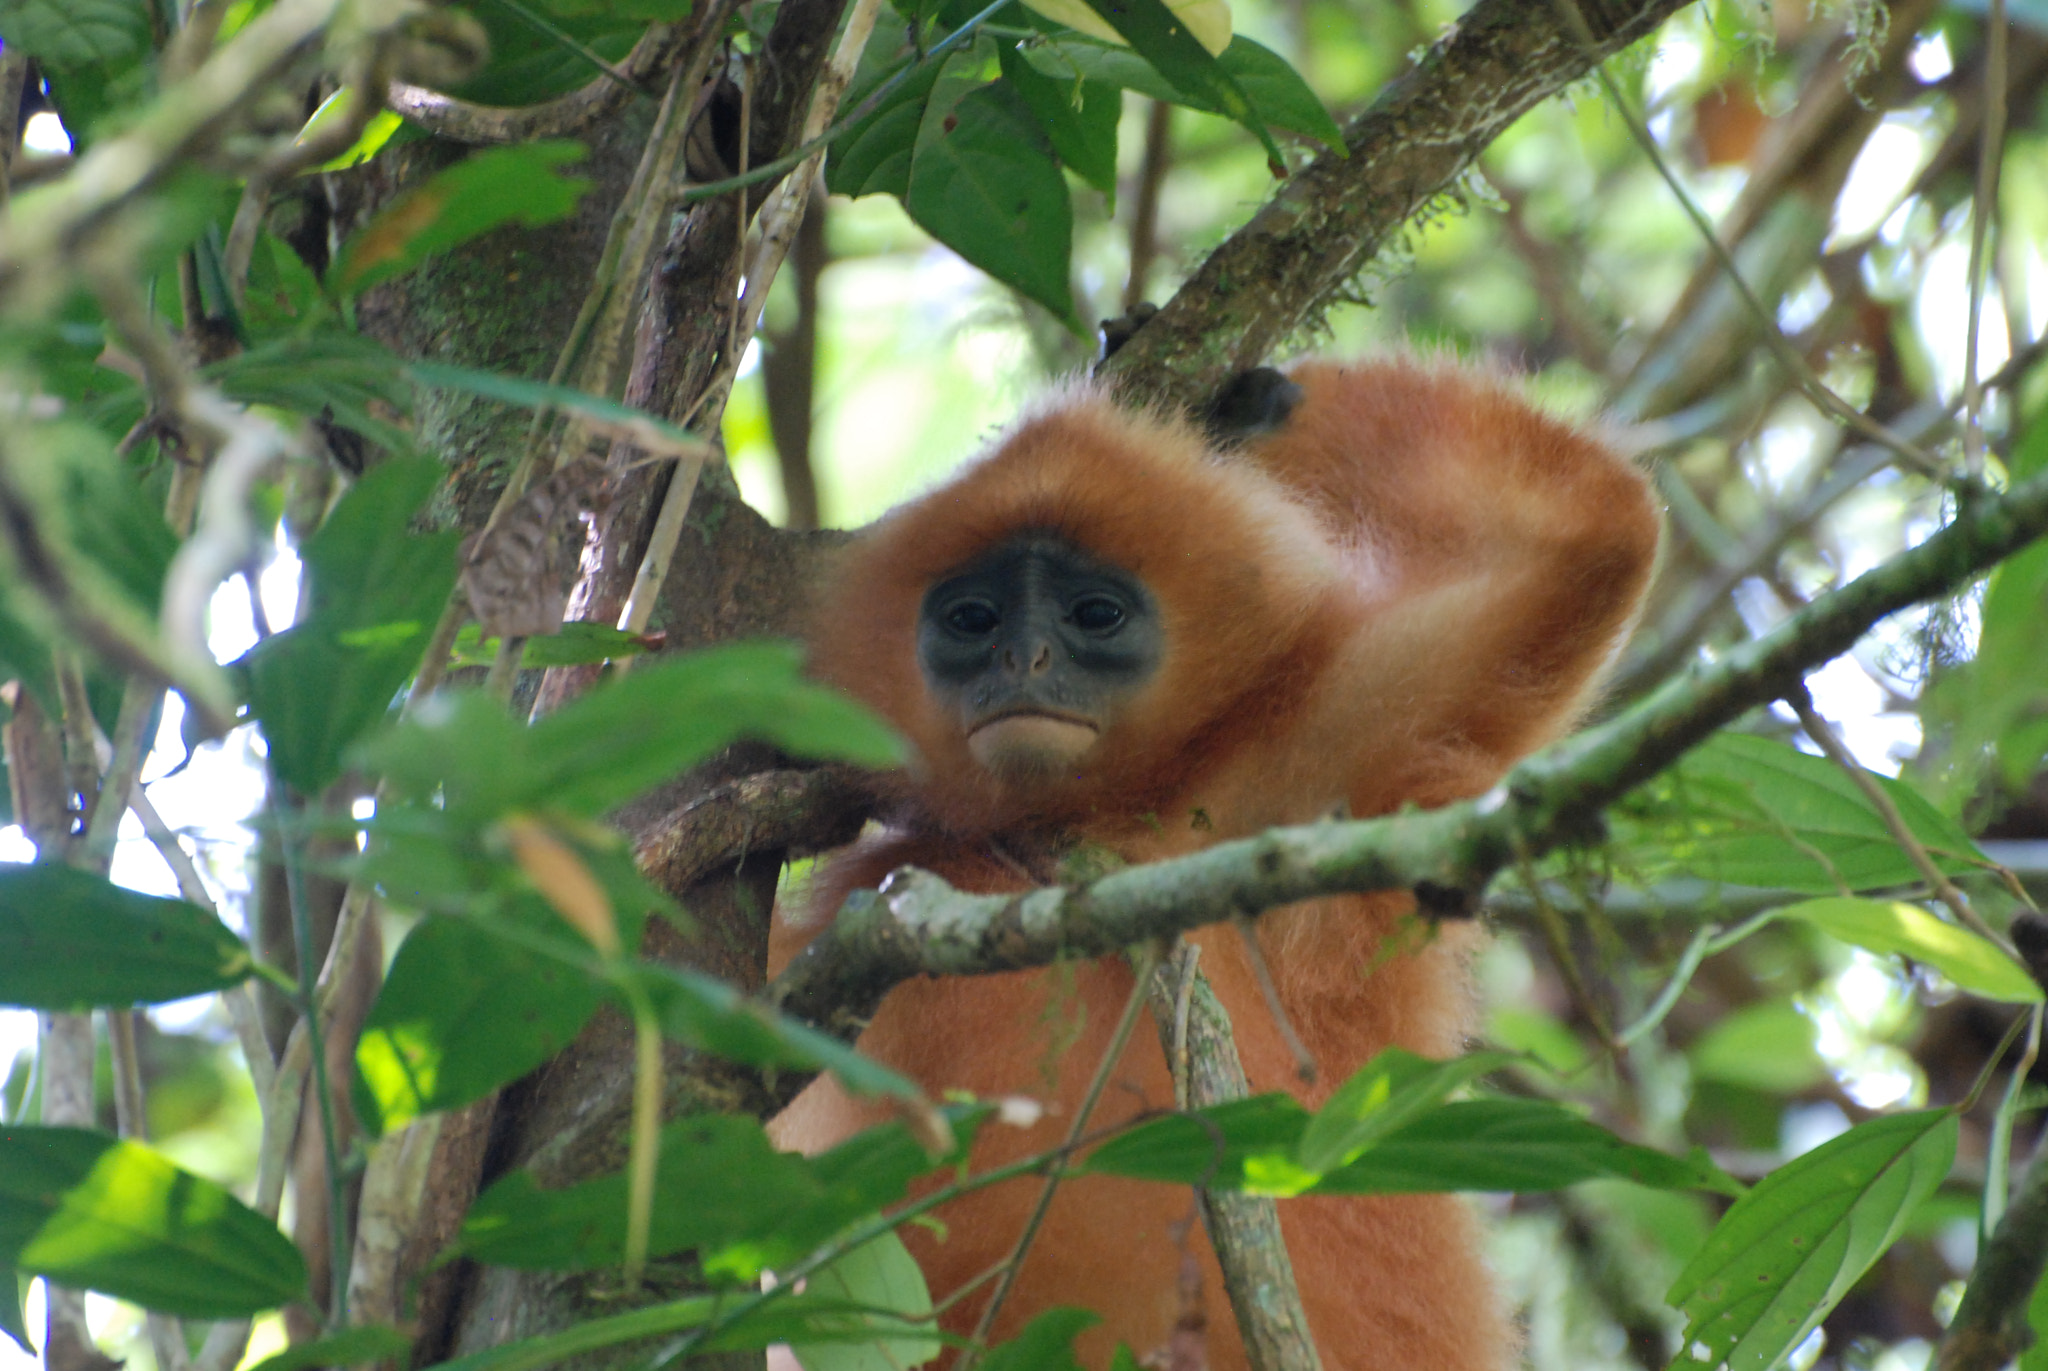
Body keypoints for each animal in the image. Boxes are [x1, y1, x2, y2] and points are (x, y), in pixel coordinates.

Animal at [768, 358, 1662, 1370]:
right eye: (972, 617)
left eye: (1095, 614)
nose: (1023, 656)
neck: (1084, 814)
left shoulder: (1331, 748)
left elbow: (1584, 537)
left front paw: (1261, 405)